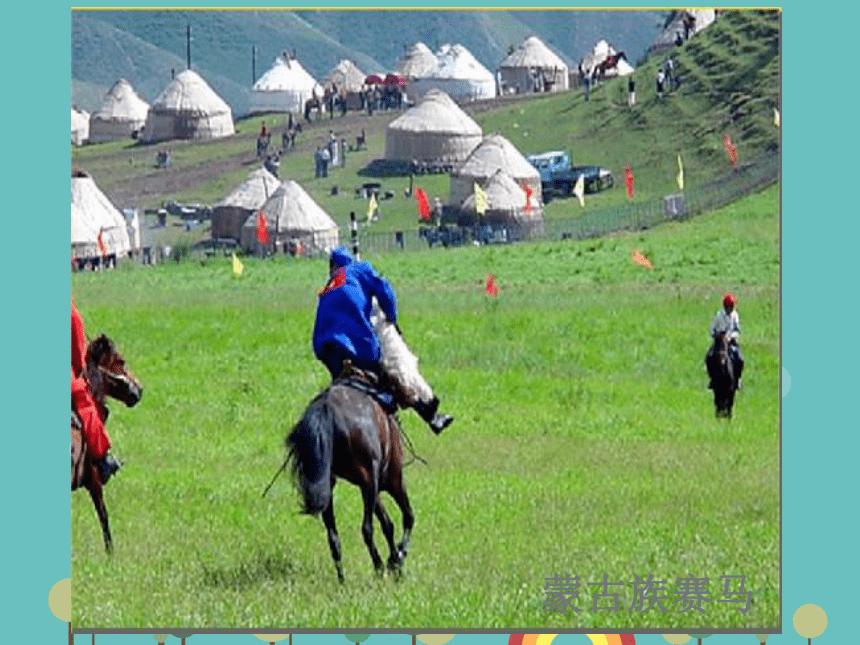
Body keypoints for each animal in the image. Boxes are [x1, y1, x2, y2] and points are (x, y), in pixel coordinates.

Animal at [284, 368, 414, 584]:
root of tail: (327, 408)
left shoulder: (371, 487)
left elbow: (387, 523)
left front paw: (395, 561)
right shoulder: (391, 479)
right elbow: (407, 517)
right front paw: (397, 561)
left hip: (331, 486)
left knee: (333, 536)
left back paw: (342, 580)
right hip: (376, 480)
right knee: (367, 528)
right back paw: (379, 566)